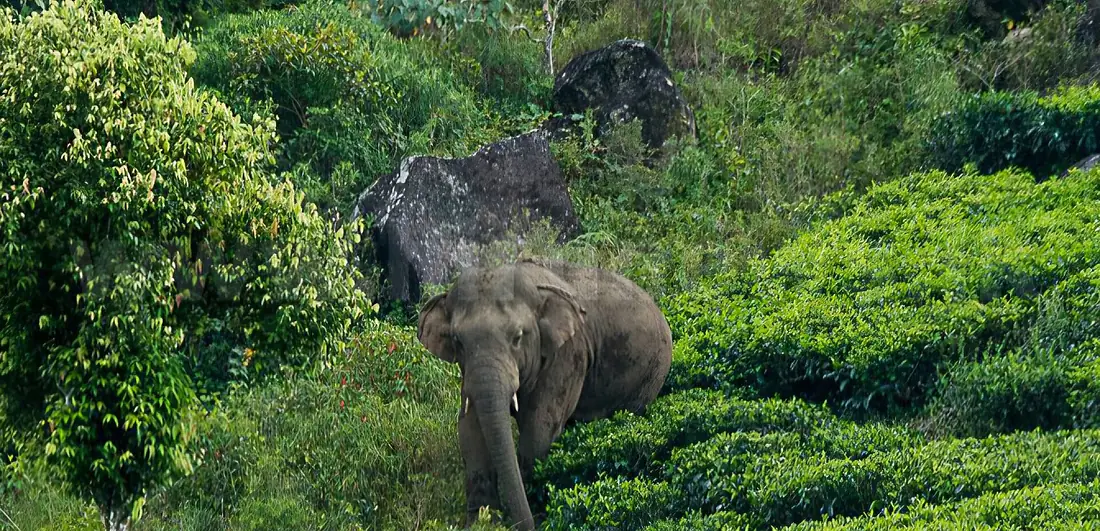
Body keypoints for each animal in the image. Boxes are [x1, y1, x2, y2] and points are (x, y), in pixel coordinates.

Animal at [417, 257, 673, 530]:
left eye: (517, 337)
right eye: (457, 341)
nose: (519, 523)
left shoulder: (567, 354)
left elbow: (539, 428)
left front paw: (537, 514)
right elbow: (470, 430)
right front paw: (480, 522)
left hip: (651, 374)